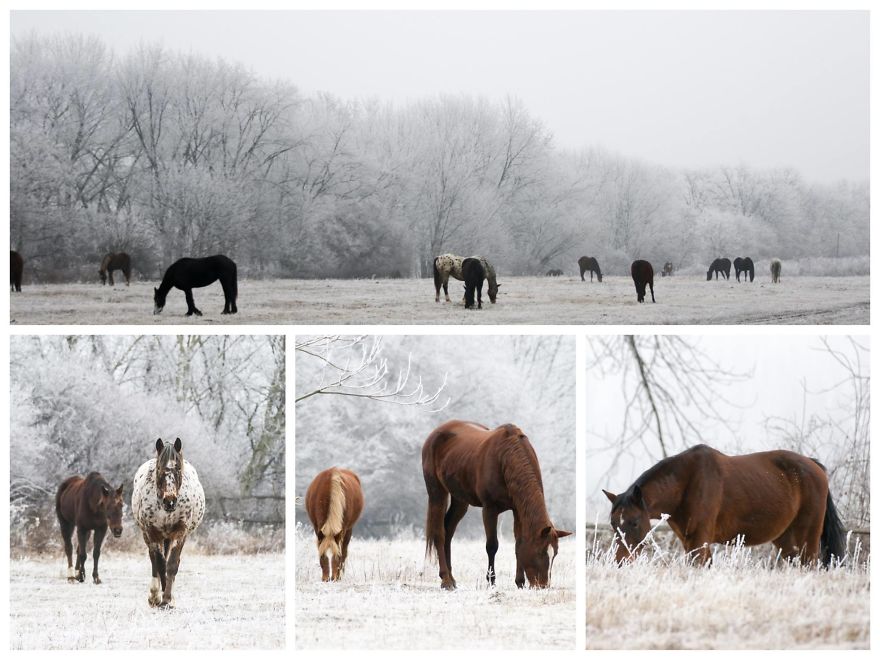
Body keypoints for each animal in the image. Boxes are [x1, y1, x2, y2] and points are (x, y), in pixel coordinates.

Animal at [132, 438, 205, 608]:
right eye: (159, 468)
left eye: (178, 468)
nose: (170, 501)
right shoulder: (153, 533)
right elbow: (160, 564)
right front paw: (159, 598)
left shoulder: (180, 533)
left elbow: (171, 565)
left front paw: (168, 599)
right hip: (149, 536)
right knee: (154, 560)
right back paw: (154, 596)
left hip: (169, 537)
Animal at [422, 420, 572, 590]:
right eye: (540, 552)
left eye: (555, 554)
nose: (542, 586)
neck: (506, 458)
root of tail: (436, 433)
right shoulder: (489, 509)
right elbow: (492, 545)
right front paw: (491, 582)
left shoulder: (518, 510)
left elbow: (519, 543)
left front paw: (519, 582)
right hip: (437, 493)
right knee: (439, 533)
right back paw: (446, 580)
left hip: (460, 499)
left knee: (449, 530)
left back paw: (452, 578)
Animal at [602, 444, 846, 567]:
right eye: (613, 523)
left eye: (634, 522)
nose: (620, 561)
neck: (687, 482)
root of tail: (815, 467)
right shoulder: (691, 542)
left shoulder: (700, 540)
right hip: (786, 539)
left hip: (808, 537)